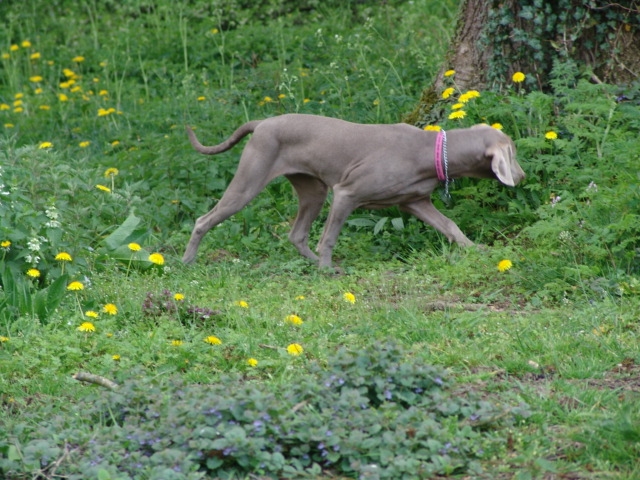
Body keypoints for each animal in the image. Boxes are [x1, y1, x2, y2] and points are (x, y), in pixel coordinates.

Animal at [181, 114, 524, 268]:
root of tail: (262, 122)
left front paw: (477, 249)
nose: (521, 176)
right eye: (514, 153)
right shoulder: (347, 193)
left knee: (296, 234)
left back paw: (312, 263)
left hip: (313, 190)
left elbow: (450, 225)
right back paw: (187, 261)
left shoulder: (414, 202)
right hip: (249, 181)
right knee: (203, 220)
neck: (432, 151)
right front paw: (327, 269)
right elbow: (329, 238)